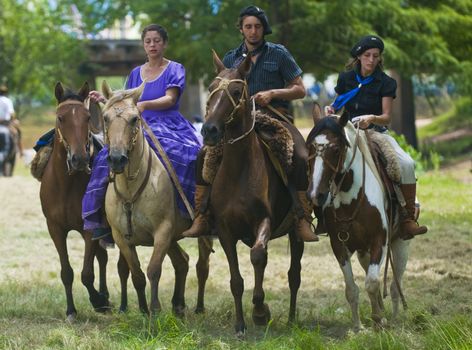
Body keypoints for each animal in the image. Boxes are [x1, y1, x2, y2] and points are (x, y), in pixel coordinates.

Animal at [39, 81, 109, 320]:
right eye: (61, 118)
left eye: (87, 117)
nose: (79, 159)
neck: (66, 186)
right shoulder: (55, 228)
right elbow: (67, 272)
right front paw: (71, 310)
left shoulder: (90, 229)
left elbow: (86, 274)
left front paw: (98, 301)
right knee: (102, 257)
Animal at [100, 81, 213, 314]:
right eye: (105, 117)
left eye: (135, 118)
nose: (117, 159)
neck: (131, 190)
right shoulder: (121, 237)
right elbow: (137, 274)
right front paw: (143, 310)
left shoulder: (163, 232)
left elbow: (153, 270)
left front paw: (155, 310)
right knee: (182, 261)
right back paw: (178, 305)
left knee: (201, 266)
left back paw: (198, 307)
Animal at [201, 52, 304, 336]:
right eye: (211, 89)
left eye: (237, 91)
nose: (209, 130)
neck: (239, 170)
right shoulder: (225, 230)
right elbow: (236, 280)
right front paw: (240, 325)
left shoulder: (264, 221)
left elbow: (258, 256)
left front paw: (260, 311)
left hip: (296, 233)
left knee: (294, 275)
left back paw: (292, 319)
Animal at [306, 104, 410, 330]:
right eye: (309, 148)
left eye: (336, 149)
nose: (315, 195)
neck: (350, 199)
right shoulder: (339, 246)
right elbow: (351, 288)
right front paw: (358, 327)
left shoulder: (379, 241)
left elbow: (371, 283)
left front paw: (378, 320)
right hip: (363, 251)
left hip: (401, 243)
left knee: (395, 284)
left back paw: (395, 318)